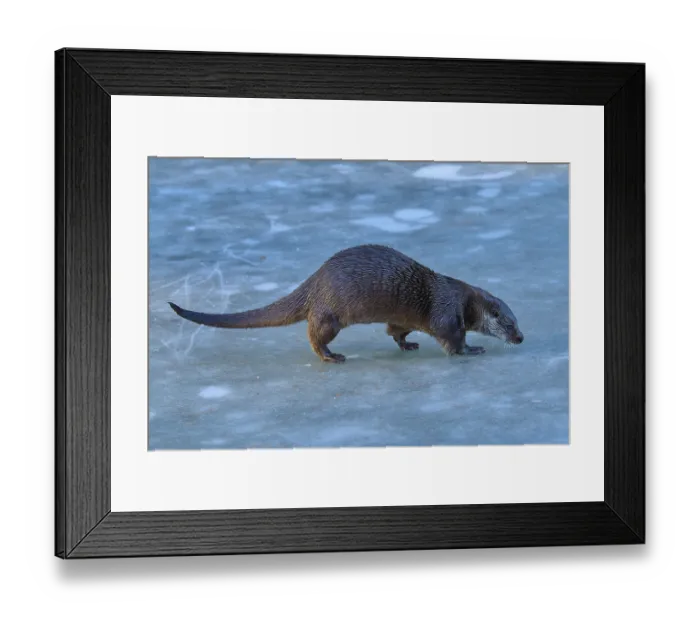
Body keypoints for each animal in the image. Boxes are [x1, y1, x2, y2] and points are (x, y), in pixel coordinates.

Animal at [169, 244, 524, 363]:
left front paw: (406, 344)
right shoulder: (447, 315)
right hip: (331, 314)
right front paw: (473, 349)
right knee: (314, 333)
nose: (520, 338)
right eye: (508, 323)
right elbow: (453, 341)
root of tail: (316, 279)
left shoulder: (405, 318)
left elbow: (395, 330)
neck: (465, 301)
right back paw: (331, 356)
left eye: (519, 321)